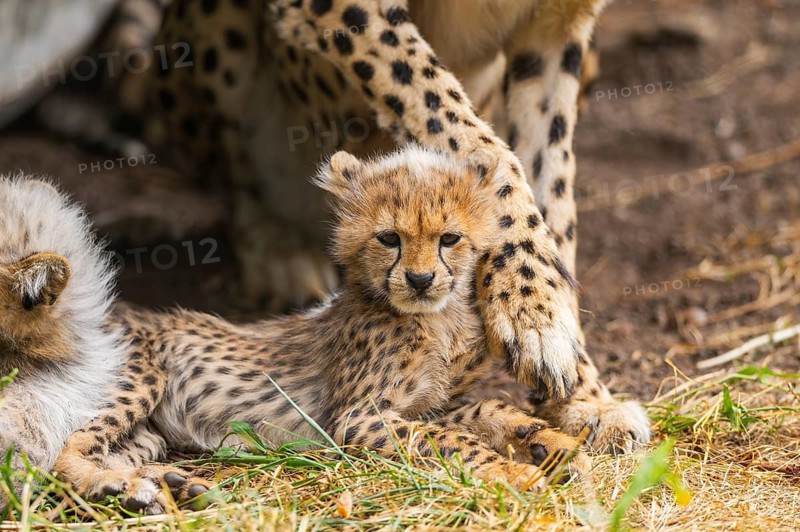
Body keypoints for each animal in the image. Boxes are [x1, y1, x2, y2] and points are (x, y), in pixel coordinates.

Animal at [53, 147, 592, 514]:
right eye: (389, 238)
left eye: (449, 239)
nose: (420, 279)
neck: (439, 319)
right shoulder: (358, 418)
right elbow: (450, 438)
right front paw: (511, 470)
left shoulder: (430, 402)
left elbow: (484, 410)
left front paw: (547, 442)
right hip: (139, 377)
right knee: (59, 450)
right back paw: (117, 486)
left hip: (149, 431)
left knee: (105, 448)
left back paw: (163, 484)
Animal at [132, 0, 650, 454]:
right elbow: (479, 143)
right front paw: (535, 310)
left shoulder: (556, 28)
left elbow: (552, 186)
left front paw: (580, 390)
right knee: (233, 172)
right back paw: (278, 248)